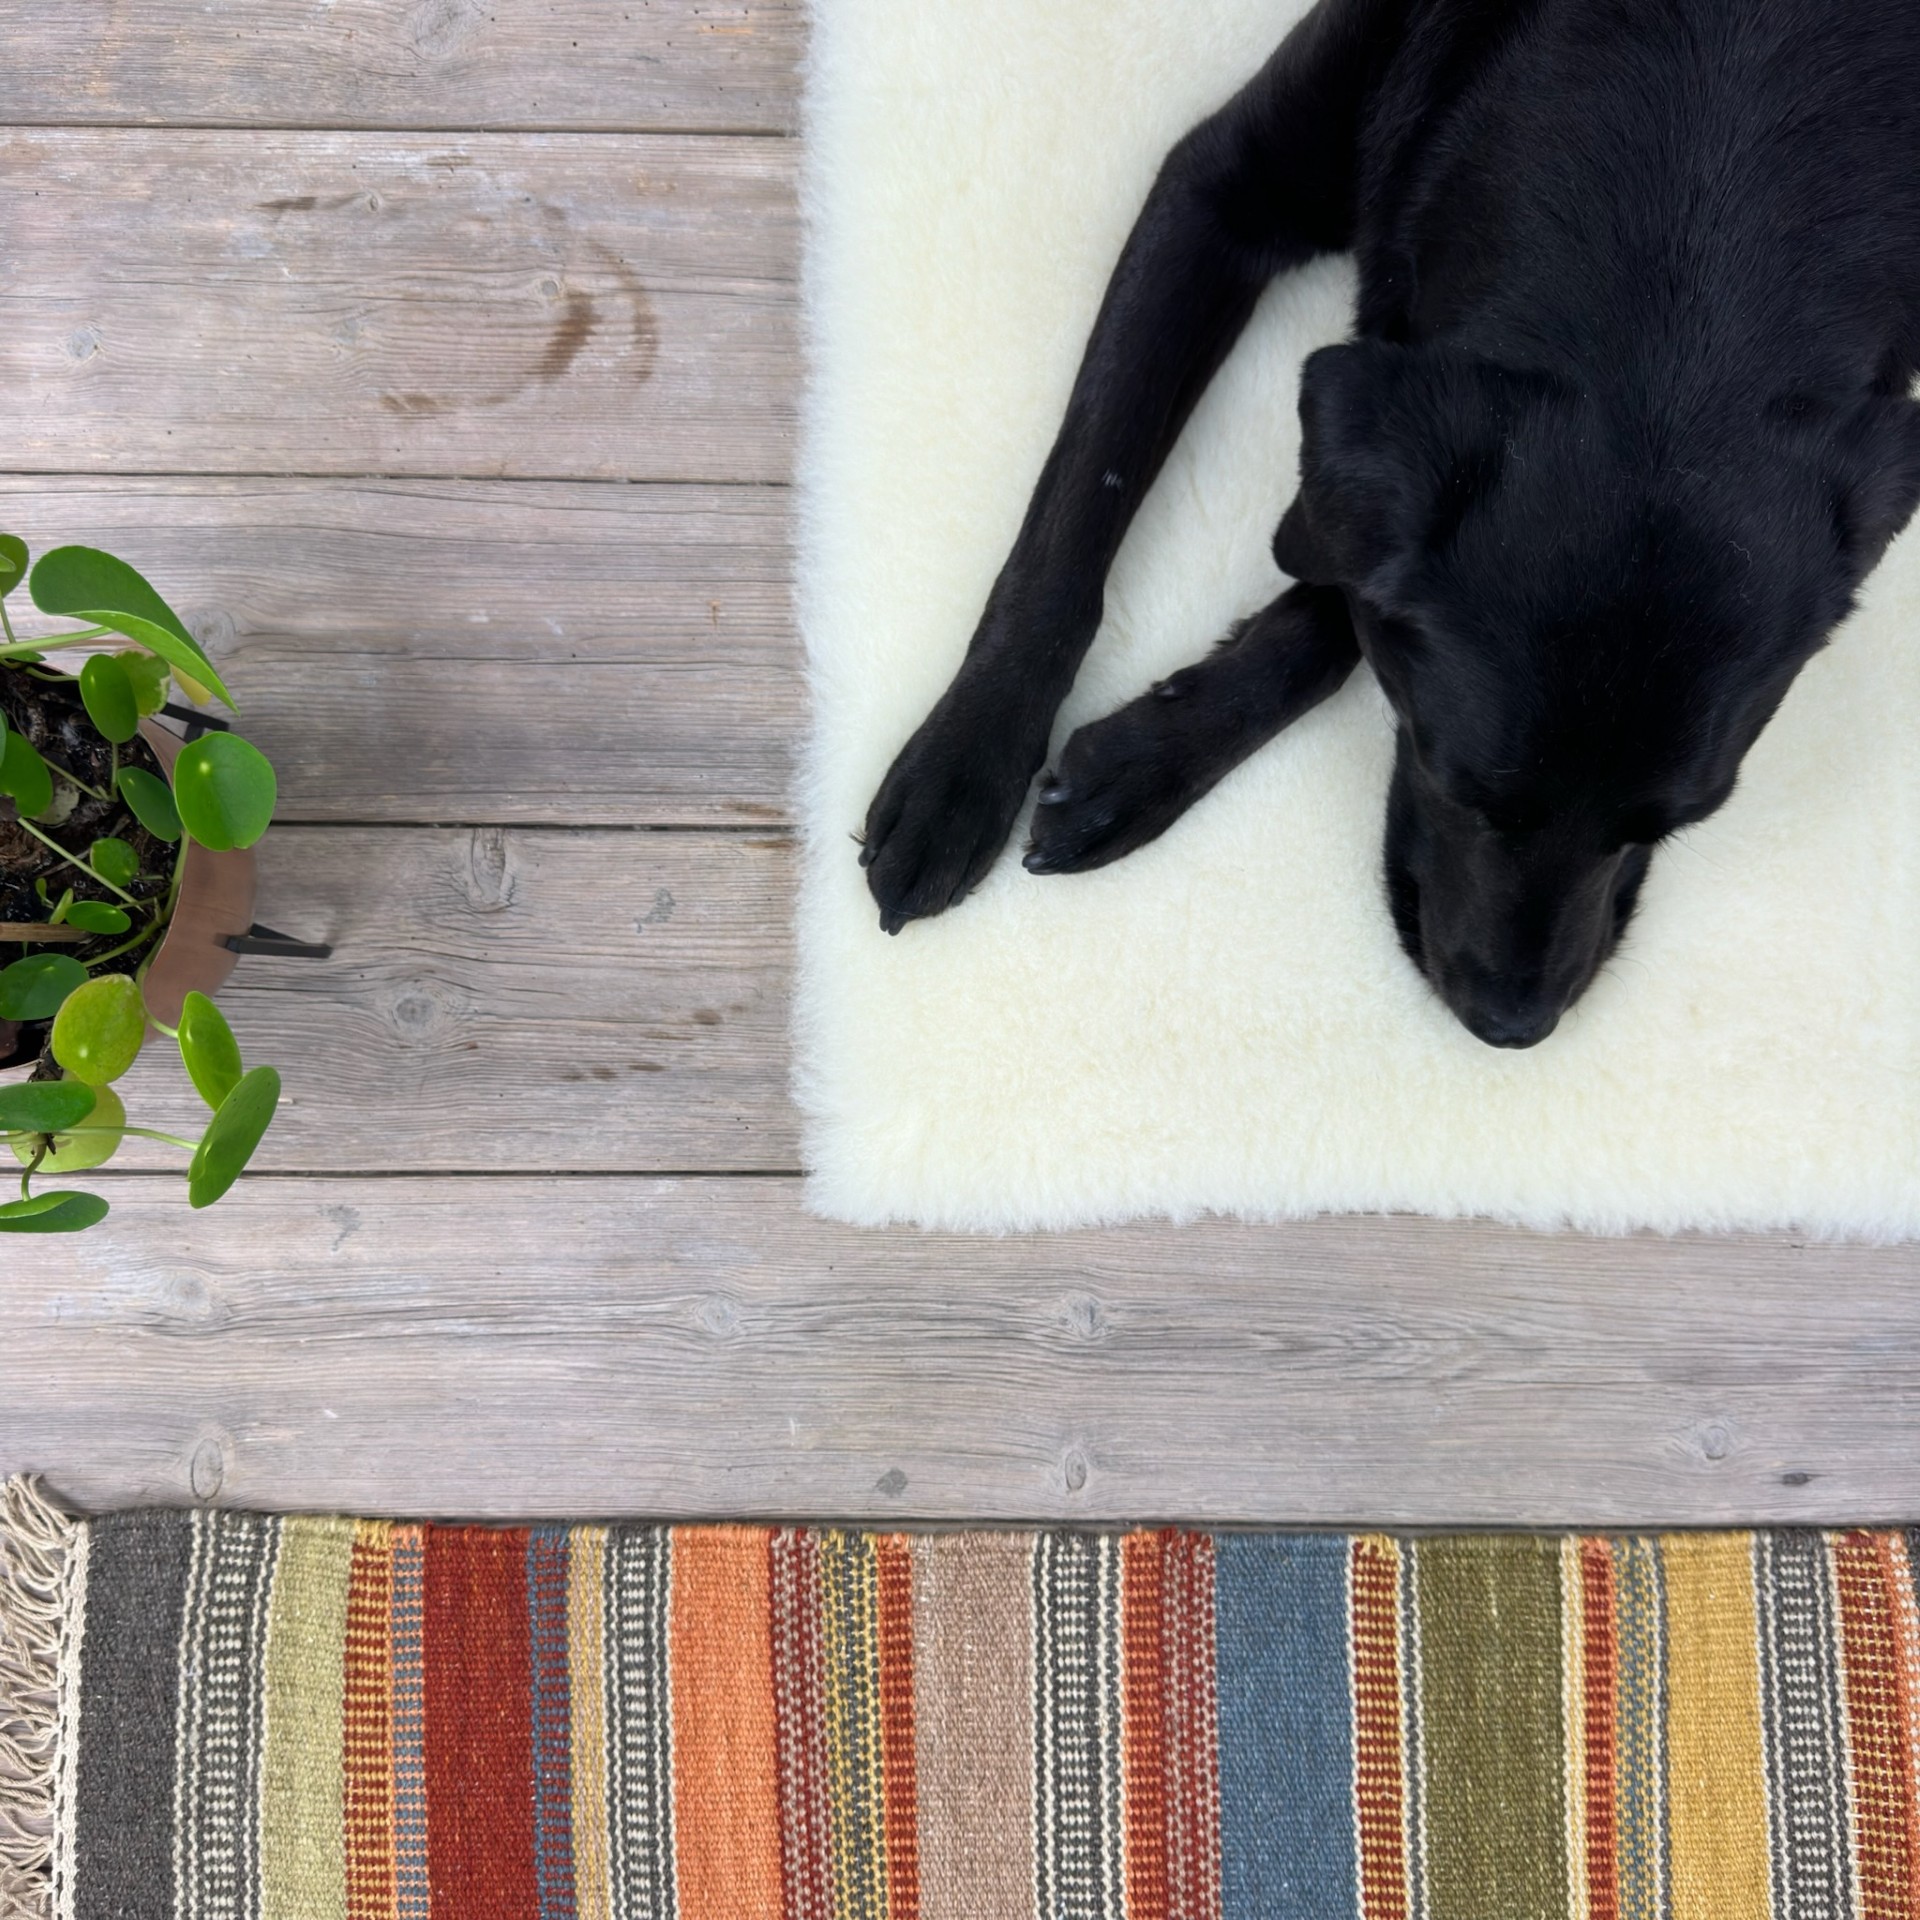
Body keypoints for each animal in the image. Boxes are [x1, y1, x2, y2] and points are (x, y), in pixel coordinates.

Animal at [864, 0, 1920, 1052]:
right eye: (1460, 789)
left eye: (1669, 827)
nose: (1512, 1026)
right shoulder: (1222, 180)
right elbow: (1086, 486)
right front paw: (966, 762)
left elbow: (1343, 594)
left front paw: (1144, 761)